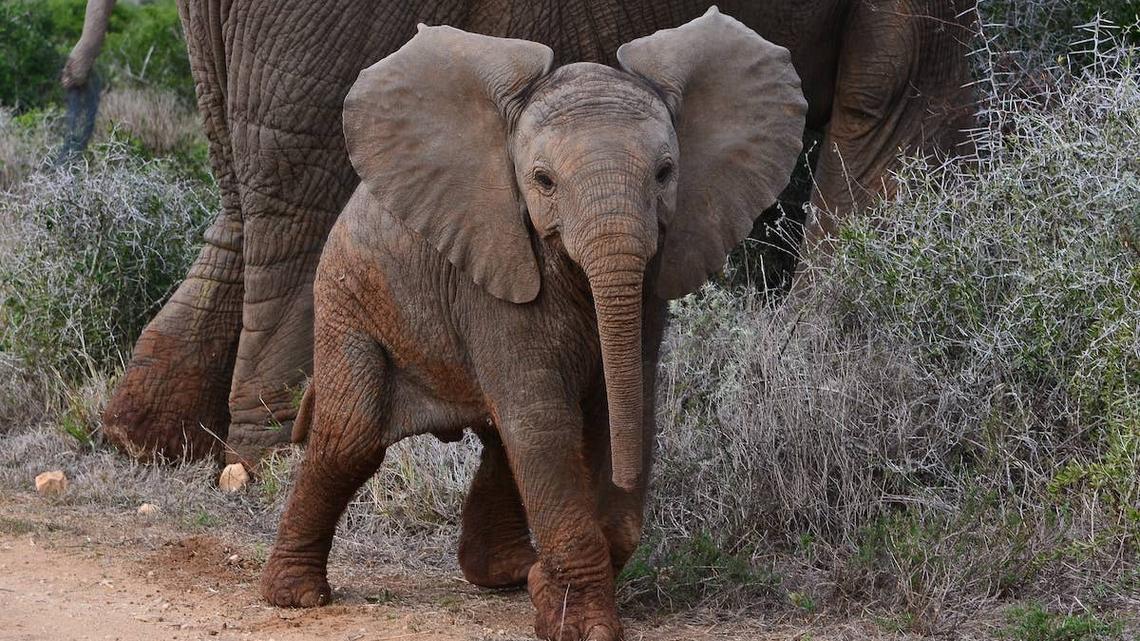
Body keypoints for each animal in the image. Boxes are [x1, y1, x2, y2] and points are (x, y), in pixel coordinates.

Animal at [258, 12, 806, 639]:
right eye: (542, 180)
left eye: (667, 174)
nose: (626, 482)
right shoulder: (492, 270)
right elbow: (545, 420)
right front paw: (581, 624)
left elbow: (621, 405)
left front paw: (551, 584)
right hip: (347, 294)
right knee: (351, 438)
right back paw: (296, 597)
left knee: (496, 438)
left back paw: (504, 574)